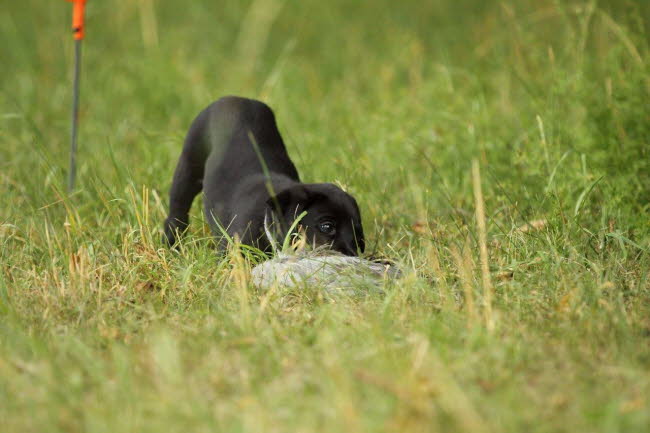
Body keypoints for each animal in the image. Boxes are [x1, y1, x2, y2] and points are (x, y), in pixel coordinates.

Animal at [162, 96, 364, 255]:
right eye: (327, 227)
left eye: (358, 232)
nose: (352, 254)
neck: (265, 219)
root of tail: (234, 98)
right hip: (188, 169)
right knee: (177, 214)